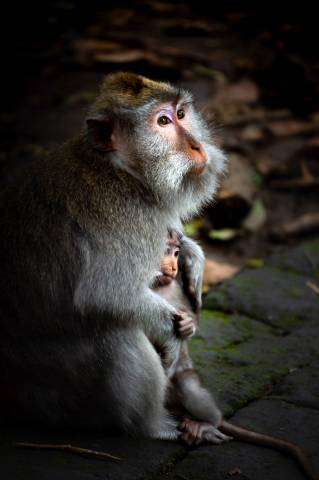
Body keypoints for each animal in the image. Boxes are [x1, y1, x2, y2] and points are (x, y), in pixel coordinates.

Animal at [0, 72, 228, 442]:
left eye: (181, 114)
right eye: (162, 122)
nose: (197, 146)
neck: (122, 171)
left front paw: (194, 258)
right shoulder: (127, 216)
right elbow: (104, 293)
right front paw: (173, 336)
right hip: (55, 390)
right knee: (117, 332)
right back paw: (154, 426)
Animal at [154, 230, 318, 480]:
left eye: (176, 253)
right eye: (165, 250)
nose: (173, 267)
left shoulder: (176, 288)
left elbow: (193, 313)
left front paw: (188, 325)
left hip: (186, 384)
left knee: (191, 390)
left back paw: (205, 423)